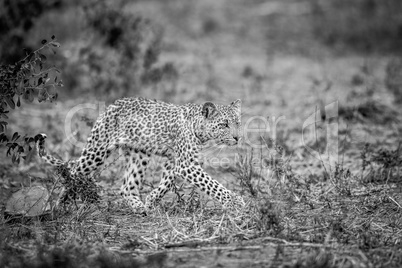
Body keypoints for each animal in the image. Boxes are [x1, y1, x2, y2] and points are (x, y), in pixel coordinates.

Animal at [36, 97, 245, 215]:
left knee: (127, 187)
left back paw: (139, 207)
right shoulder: (186, 164)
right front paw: (235, 201)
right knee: (73, 172)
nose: (238, 137)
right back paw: (58, 205)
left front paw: (151, 199)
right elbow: (213, 184)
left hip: (139, 155)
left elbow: (167, 182)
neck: (198, 128)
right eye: (224, 124)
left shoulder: (174, 161)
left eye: (238, 123)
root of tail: (111, 105)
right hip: (97, 151)